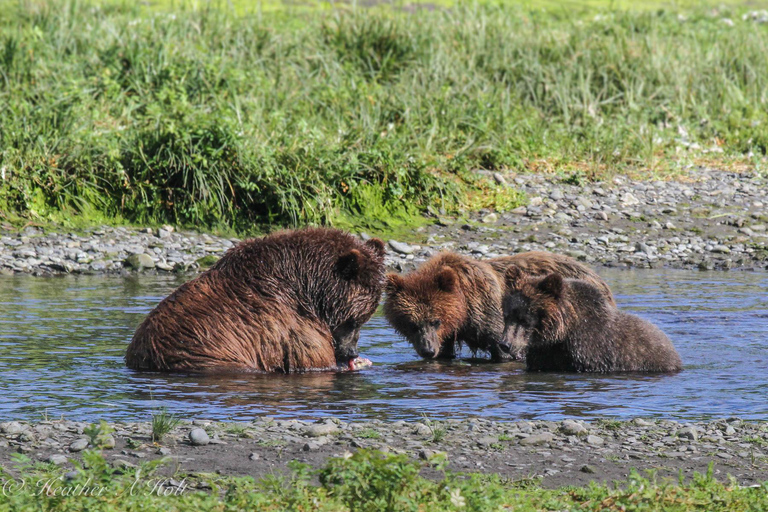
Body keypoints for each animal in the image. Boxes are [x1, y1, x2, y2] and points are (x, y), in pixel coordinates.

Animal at [125, 228, 386, 373]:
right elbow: (312, 357)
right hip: (207, 357)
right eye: (353, 321)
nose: (351, 353)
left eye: (362, 320)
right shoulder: (287, 323)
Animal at [383, 251, 613, 362]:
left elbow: (502, 348)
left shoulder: (489, 314)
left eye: (435, 320)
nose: (428, 350)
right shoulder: (450, 332)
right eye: (411, 323)